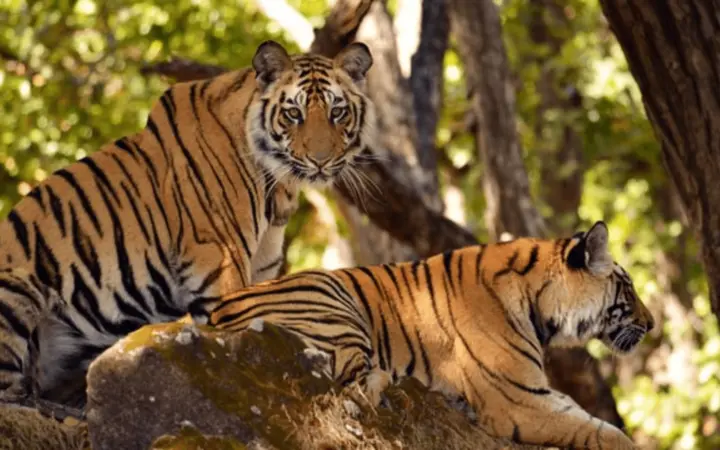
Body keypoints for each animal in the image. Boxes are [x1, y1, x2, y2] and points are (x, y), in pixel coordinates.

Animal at [0, 40, 376, 406]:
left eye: (337, 112)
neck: (279, 188)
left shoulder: (262, 273)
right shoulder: (221, 262)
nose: (321, 160)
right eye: (293, 113)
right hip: (19, 286)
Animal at [208, 221, 654, 450]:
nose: (651, 325)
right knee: (352, 381)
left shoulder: (533, 393)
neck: (539, 303)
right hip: (330, 297)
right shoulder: (519, 401)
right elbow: (605, 432)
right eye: (628, 289)